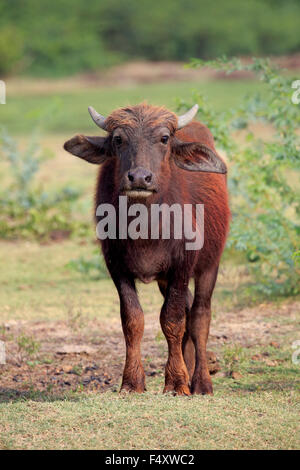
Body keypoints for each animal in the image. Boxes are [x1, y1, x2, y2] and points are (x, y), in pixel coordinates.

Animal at [64, 103, 230, 396]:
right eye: (118, 139)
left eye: (164, 138)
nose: (139, 177)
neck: (146, 227)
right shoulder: (116, 266)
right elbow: (132, 320)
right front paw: (132, 381)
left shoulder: (182, 266)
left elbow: (172, 320)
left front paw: (176, 381)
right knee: (189, 309)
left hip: (210, 264)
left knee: (200, 316)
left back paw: (200, 381)